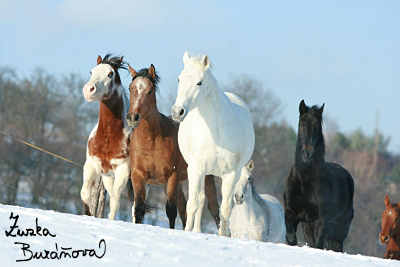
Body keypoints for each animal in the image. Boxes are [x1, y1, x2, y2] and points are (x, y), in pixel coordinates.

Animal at [126, 63, 219, 229]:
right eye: (131, 88)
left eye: (149, 91)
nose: (133, 117)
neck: (152, 141)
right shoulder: (139, 176)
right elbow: (139, 209)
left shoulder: (172, 176)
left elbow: (170, 211)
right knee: (184, 211)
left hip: (205, 178)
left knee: (214, 210)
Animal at [171, 51, 253, 236]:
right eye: (179, 79)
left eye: (199, 82)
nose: (177, 112)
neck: (214, 132)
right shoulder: (195, 169)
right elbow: (193, 204)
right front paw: (188, 231)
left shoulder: (230, 174)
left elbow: (225, 210)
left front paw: (223, 235)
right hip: (203, 173)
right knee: (200, 199)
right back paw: (197, 230)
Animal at [282, 99, 354, 252]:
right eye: (302, 124)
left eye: (317, 126)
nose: (308, 154)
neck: (304, 181)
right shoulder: (292, 214)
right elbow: (291, 238)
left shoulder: (321, 220)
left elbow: (318, 245)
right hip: (308, 225)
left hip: (340, 228)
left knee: (334, 244)